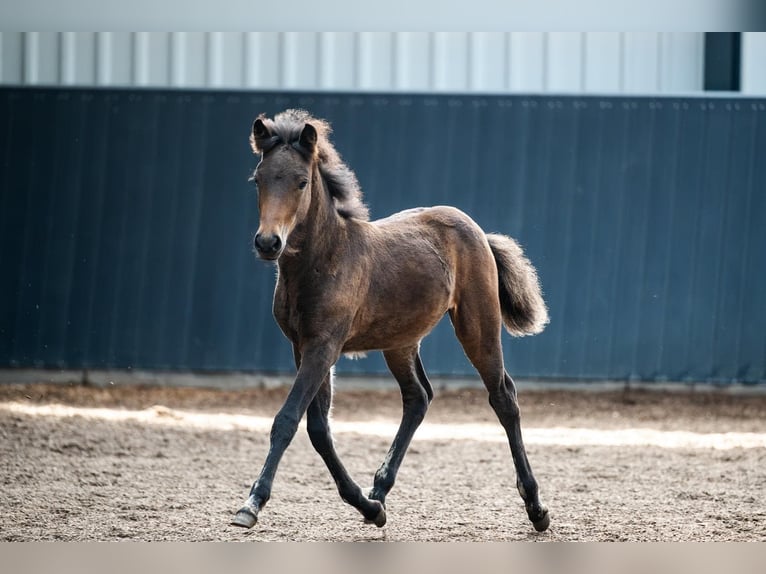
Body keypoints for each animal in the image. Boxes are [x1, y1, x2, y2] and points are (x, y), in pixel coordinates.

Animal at [232, 109, 551, 534]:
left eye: (301, 181)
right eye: (258, 179)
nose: (268, 243)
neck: (323, 260)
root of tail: (479, 231)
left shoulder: (323, 347)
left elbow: (287, 420)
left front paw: (251, 504)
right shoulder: (303, 348)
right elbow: (319, 430)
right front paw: (367, 507)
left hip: (477, 325)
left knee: (503, 398)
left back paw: (536, 507)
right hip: (400, 340)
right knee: (418, 397)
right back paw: (379, 491)